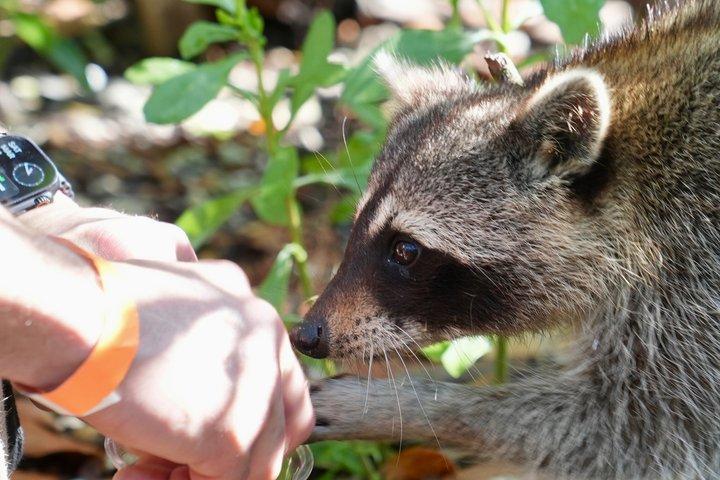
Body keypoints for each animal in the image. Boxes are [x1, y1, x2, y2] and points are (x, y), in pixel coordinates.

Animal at [290, 1, 720, 478]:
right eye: (357, 224)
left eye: (405, 249)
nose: (306, 335)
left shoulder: (692, 279)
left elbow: (629, 435)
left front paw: (417, 406)